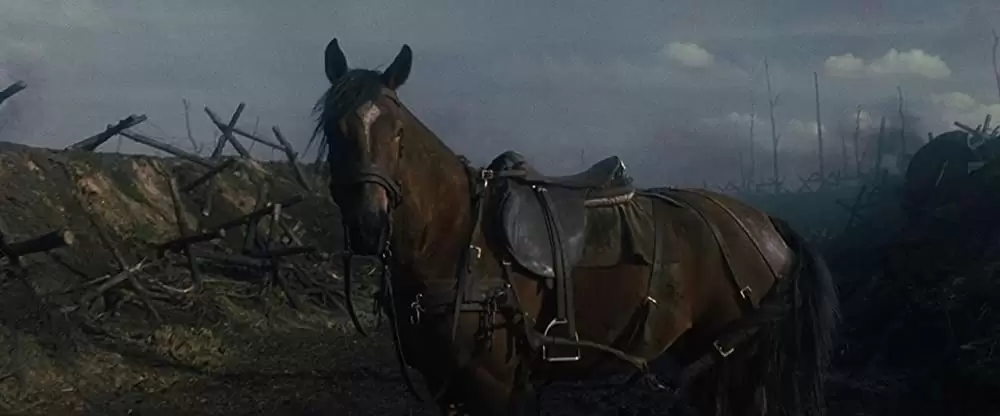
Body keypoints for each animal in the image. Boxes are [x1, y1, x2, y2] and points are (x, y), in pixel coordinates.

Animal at [313, 38, 840, 416]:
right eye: (333, 129)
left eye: (397, 133)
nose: (369, 224)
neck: (458, 244)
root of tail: (764, 223)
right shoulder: (450, 389)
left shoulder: (494, 386)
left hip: (739, 364)